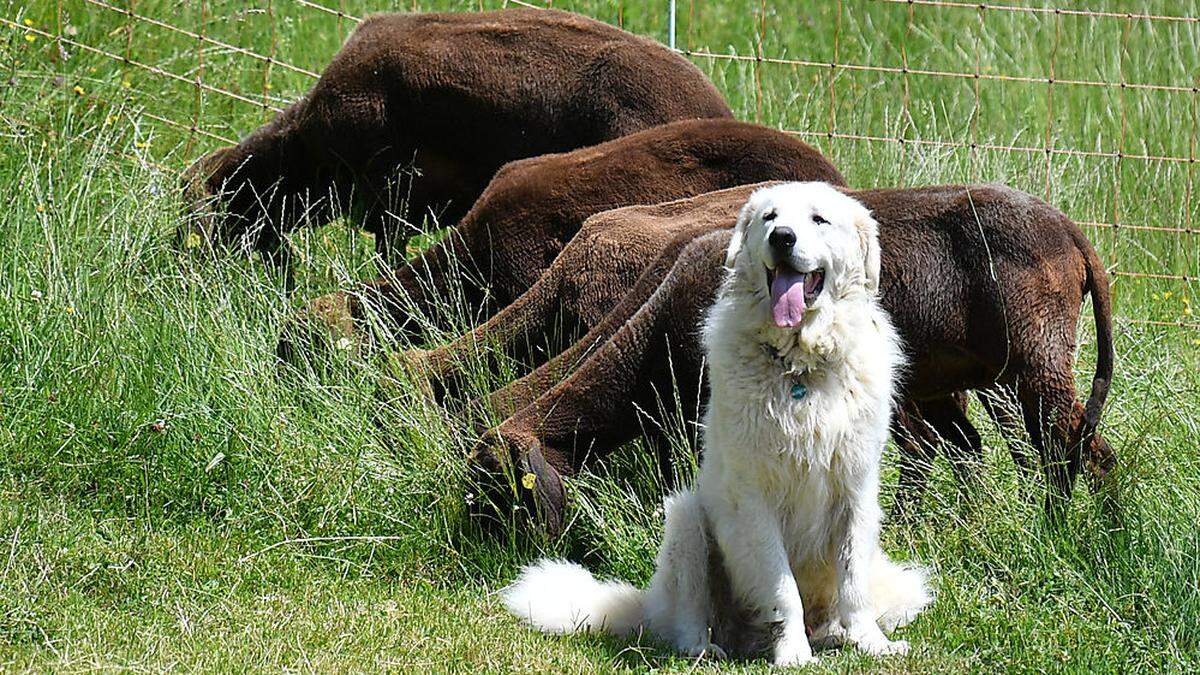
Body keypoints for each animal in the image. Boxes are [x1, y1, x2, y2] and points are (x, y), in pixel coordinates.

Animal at [501, 182, 931, 662]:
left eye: (819, 219)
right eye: (770, 217)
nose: (782, 238)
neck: (799, 370)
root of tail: (649, 605)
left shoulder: (856, 493)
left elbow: (853, 581)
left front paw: (870, 642)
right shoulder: (756, 501)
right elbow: (783, 588)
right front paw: (793, 653)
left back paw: (834, 635)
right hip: (686, 519)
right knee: (690, 618)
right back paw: (707, 648)